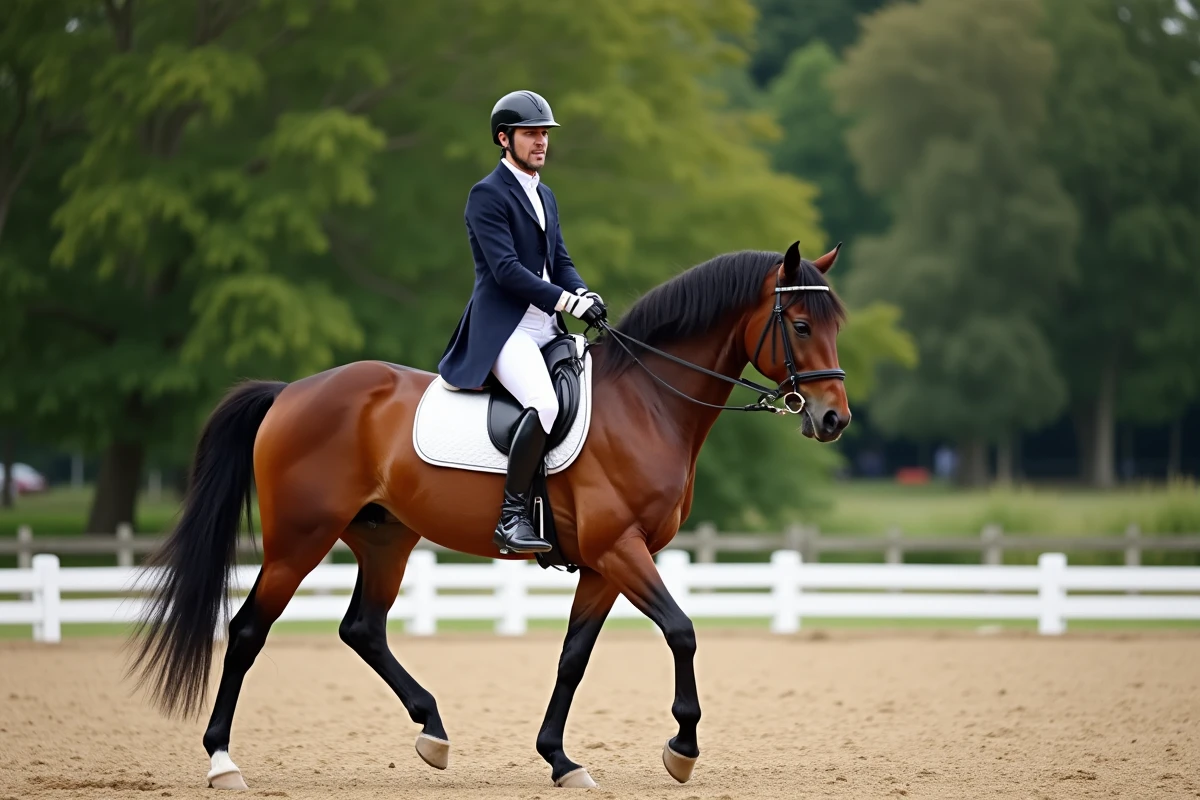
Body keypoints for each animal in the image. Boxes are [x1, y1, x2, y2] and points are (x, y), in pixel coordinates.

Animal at [128, 240, 851, 790]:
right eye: (802, 326)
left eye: (836, 326)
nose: (834, 420)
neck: (647, 404)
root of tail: (291, 392)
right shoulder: (621, 548)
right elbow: (682, 631)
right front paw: (682, 749)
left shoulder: (606, 564)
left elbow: (573, 656)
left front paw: (561, 760)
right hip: (298, 542)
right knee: (248, 630)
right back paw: (223, 762)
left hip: (386, 540)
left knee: (363, 628)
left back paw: (433, 732)